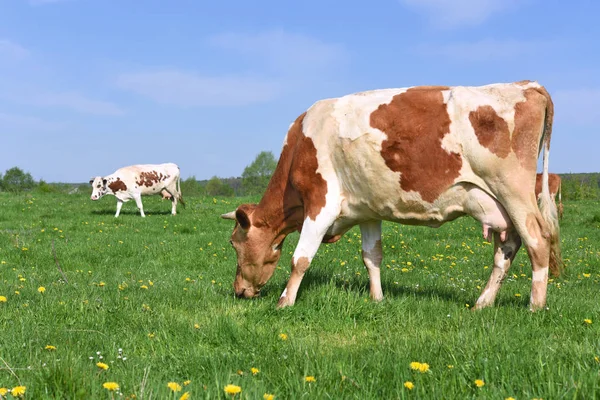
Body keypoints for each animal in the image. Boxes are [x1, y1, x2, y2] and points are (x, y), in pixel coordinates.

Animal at [221, 81, 564, 310]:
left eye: (235, 243)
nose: (238, 290)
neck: (300, 143)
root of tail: (525, 84)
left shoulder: (321, 203)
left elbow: (300, 258)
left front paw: (284, 302)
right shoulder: (367, 210)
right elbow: (371, 257)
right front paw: (377, 298)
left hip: (515, 192)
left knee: (537, 242)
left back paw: (535, 306)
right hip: (501, 206)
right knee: (506, 250)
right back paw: (482, 303)